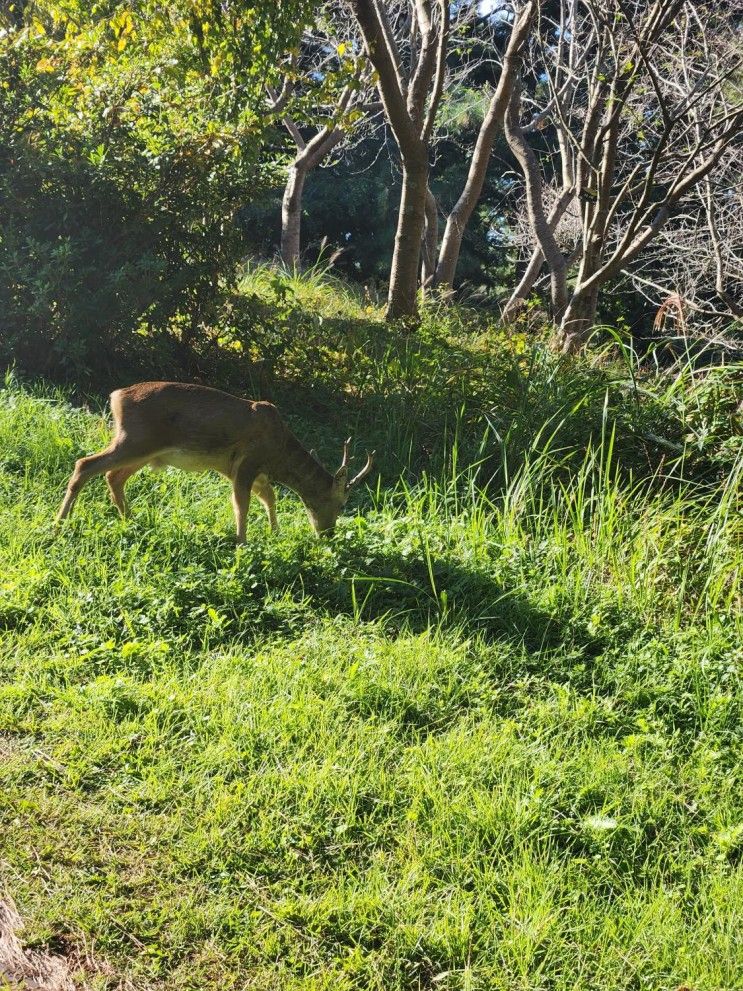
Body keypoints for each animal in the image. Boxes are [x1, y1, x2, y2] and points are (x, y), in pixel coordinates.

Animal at [55, 382, 374, 544]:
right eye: (341, 504)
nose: (328, 534)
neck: (278, 453)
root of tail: (115, 396)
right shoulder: (247, 463)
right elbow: (242, 503)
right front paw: (242, 542)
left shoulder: (250, 470)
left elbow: (269, 498)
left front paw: (275, 532)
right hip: (135, 440)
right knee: (85, 464)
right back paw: (60, 522)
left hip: (145, 450)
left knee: (113, 476)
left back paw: (130, 520)